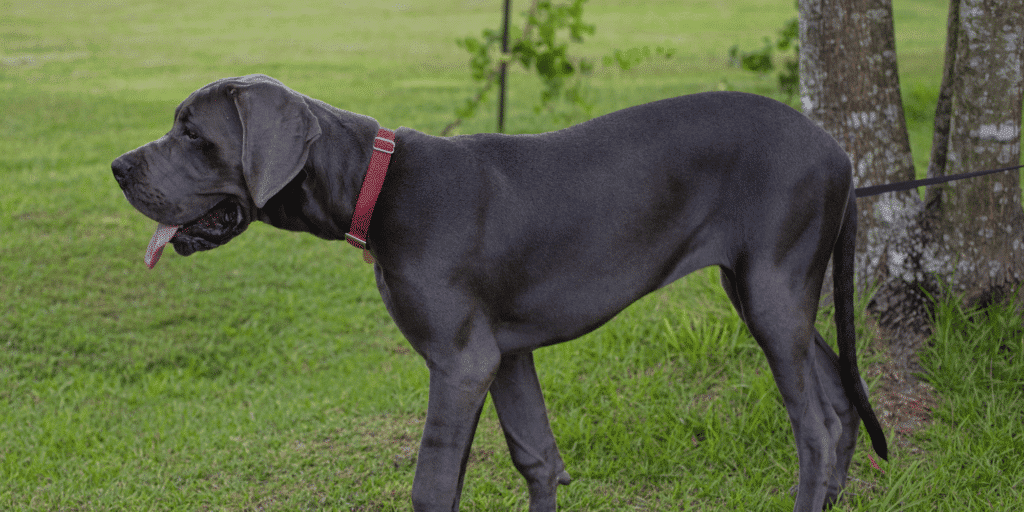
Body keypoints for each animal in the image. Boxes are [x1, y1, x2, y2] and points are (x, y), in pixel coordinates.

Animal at [112, 74, 888, 509]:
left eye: (192, 133)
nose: (117, 167)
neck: (375, 186)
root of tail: (840, 153)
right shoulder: (508, 353)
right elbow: (537, 458)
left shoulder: (462, 361)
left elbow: (431, 486)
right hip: (767, 289)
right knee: (840, 400)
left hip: (771, 288)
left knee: (816, 427)